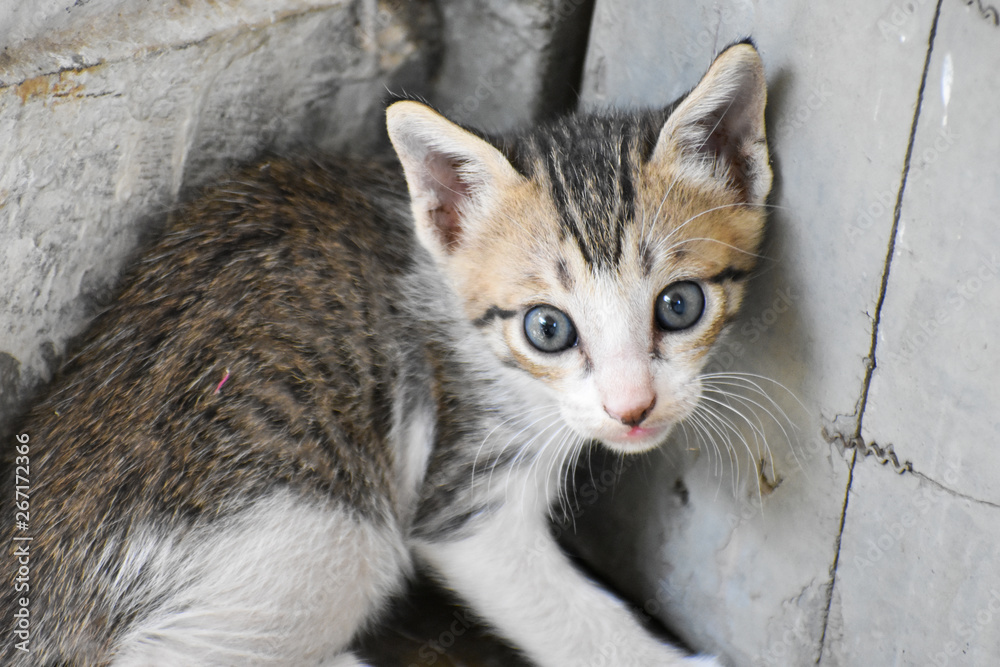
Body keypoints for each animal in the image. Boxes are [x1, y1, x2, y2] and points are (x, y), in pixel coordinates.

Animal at [1, 43, 772, 667]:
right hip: (332, 530)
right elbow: (564, 608)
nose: (633, 406)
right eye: (548, 328)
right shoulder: (463, 484)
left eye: (679, 306)